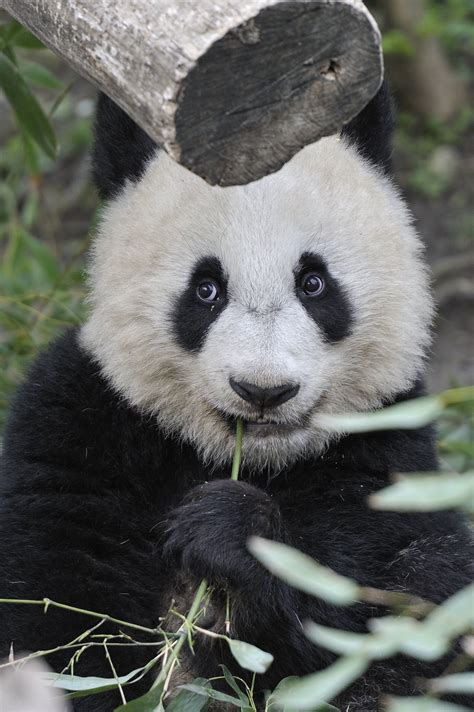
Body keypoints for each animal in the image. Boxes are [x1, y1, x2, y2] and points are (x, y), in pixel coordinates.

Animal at [0, 85, 472, 712]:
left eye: (313, 283)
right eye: (206, 289)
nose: (263, 390)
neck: (240, 456)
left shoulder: (387, 451)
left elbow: (398, 602)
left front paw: (227, 529)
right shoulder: (82, 422)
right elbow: (60, 616)